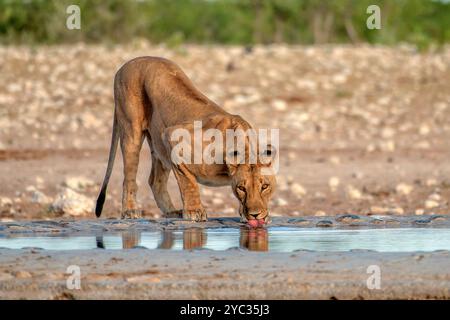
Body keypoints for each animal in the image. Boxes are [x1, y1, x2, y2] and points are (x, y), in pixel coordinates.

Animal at [95, 57, 276, 222]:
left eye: (265, 186)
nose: (255, 214)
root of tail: (124, 66)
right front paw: (194, 211)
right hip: (131, 130)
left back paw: (171, 212)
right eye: (242, 188)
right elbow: (189, 183)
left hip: (158, 146)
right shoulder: (172, 137)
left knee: (155, 181)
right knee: (129, 178)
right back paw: (130, 211)